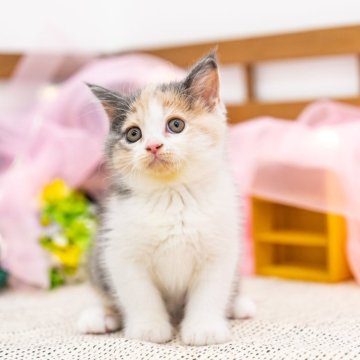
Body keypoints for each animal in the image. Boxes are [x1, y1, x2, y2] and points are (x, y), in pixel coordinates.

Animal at [77, 52, 255, 344]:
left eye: (176, 125)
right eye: (133, 134)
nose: (153, 146)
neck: (172, 194)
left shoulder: (220, 249)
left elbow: (211, 291)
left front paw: (203, 328)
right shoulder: (119, 250)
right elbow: (139, 294)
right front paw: (150, 327)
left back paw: (239, 305)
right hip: (96, 260)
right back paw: (100, 316)